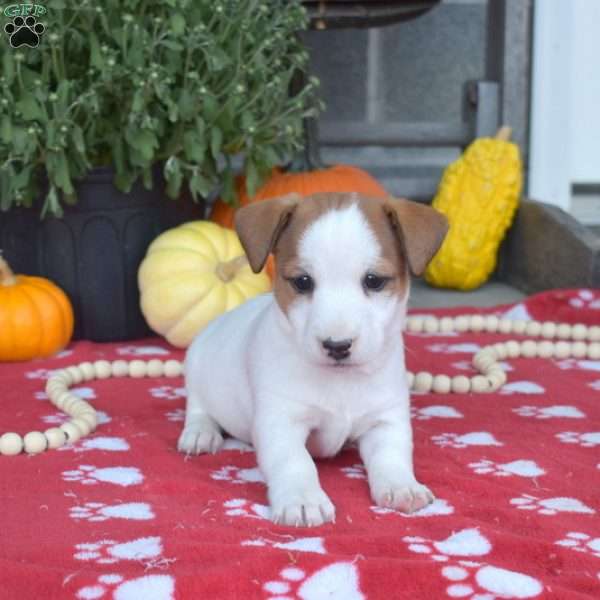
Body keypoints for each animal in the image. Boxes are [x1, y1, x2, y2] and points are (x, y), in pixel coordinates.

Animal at [180, 192, 448, 524]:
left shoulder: (385, 420)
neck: (341, 381)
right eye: (303, 282)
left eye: (374, 280)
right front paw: (302, 499)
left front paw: (402, 486)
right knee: (198, 409)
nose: (337, 345)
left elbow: (392, 455)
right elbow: (295, 461)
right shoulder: (281, 421)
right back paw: (200, 434)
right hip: (196, 368)